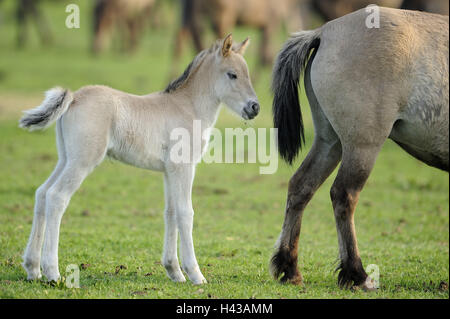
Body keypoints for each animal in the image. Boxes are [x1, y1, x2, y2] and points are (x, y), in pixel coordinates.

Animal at [20, 35, 260, 284]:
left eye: (247, 74)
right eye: (232, 74)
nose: (254, 107)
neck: (188, 107)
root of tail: (75, 97)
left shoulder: (169, 171)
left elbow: (171, 213)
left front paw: (174, 271)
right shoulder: (183, 168)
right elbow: (185, 213)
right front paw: (195, 274)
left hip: (66, 159)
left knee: (41, 193)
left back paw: (33, 268)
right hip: (82, 162)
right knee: (56, 197)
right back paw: (52, 272)